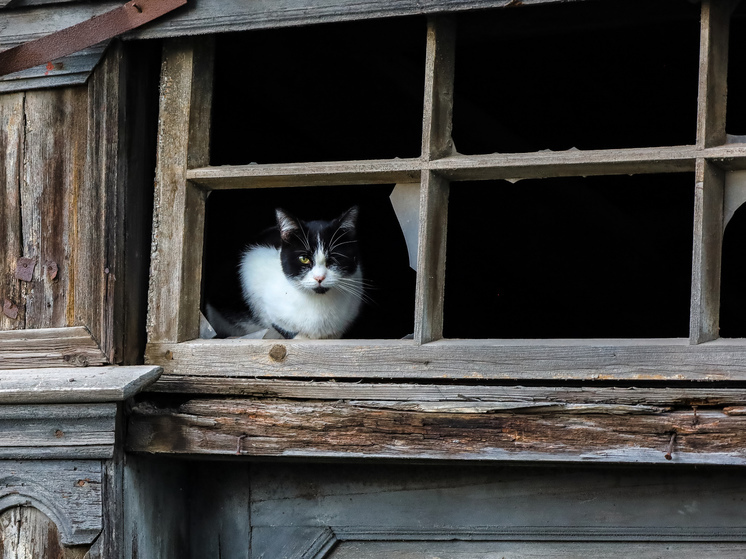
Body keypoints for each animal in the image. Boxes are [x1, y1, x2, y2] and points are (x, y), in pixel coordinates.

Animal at [206, 208, 364, 340]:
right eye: (303, 258)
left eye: (335, 258)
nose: (319, 277)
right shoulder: (251, 266)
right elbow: (275, 321)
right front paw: (300, 337)